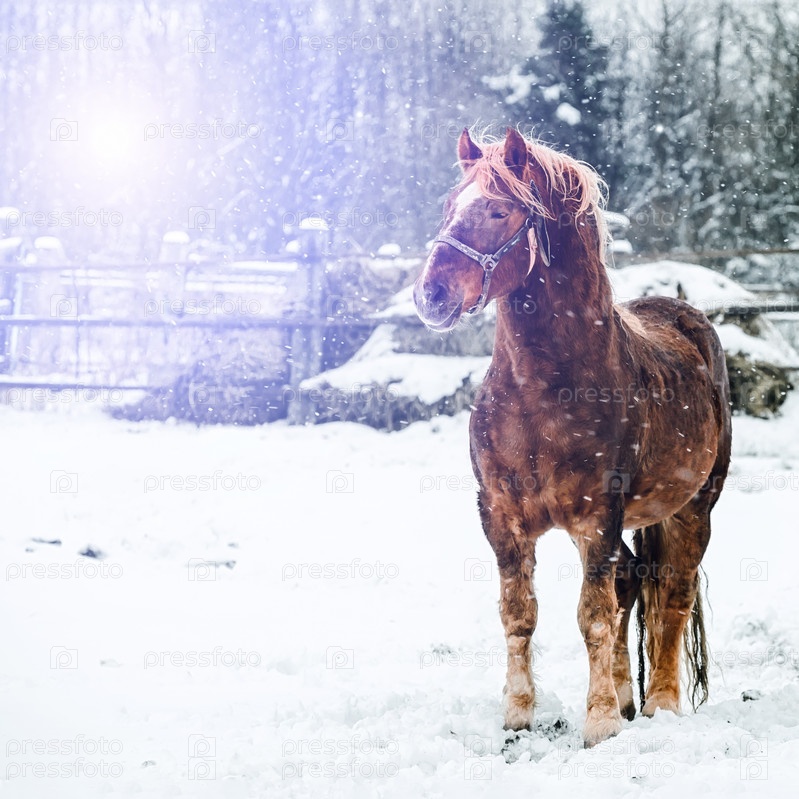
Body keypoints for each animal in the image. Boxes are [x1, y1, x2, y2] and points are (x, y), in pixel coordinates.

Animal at [413, 127, 731, 747]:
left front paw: (599, 723)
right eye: (448, 206)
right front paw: (518, 715)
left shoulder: (596, 517)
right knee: (632, 581)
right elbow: (520, 613)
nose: (431, 294)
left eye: (499, 209)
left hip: (693, 509)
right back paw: (630, 701)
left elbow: (593, 616)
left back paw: (659, 705)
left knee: (673, 595)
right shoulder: (501, 516)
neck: (542, 392)